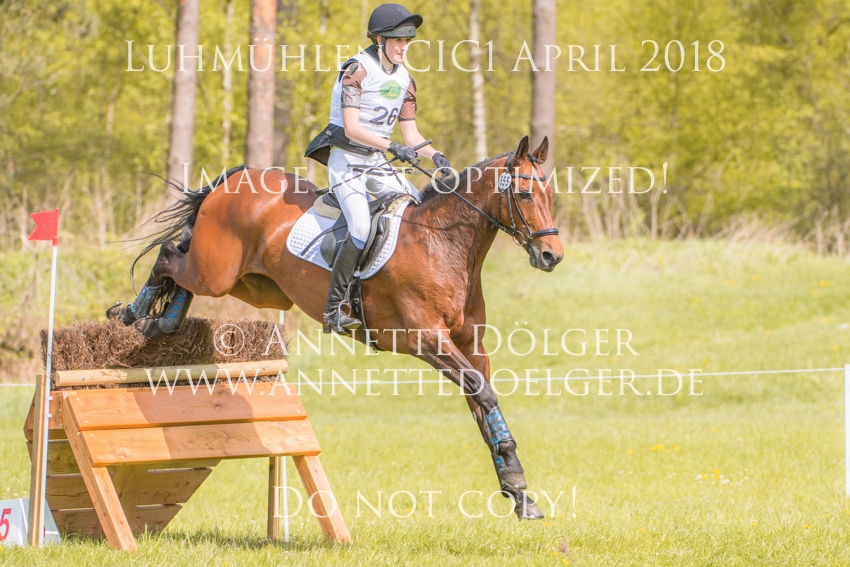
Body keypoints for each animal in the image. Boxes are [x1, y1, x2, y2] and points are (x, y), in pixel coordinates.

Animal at [112, 135, 564, 519]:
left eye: (550, 195)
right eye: (525, 195)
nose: (551, 255)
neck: (445, 246)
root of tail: (237, 177)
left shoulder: (470, 346)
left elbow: (482, 404)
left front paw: (517, 490)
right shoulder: (426, 341)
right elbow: (483, 394)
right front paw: (515, 478)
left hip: (255, 286)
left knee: (182, 271)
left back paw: (161, 322)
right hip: (217, 272)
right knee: (169, 255)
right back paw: (132, 315)